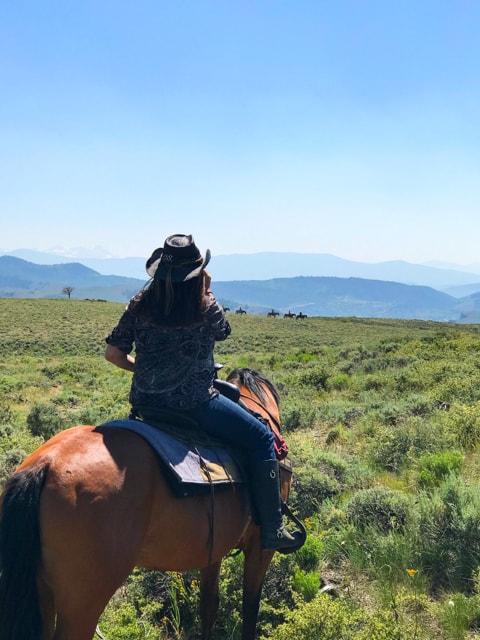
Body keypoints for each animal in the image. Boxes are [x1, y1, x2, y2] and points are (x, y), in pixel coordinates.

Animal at [0, 368, 300, 636]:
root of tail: (46, 464)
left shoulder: (213, 551)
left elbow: (209, 607)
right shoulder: (260, 547)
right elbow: (251, 609)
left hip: (41, 591)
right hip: (83, 603)